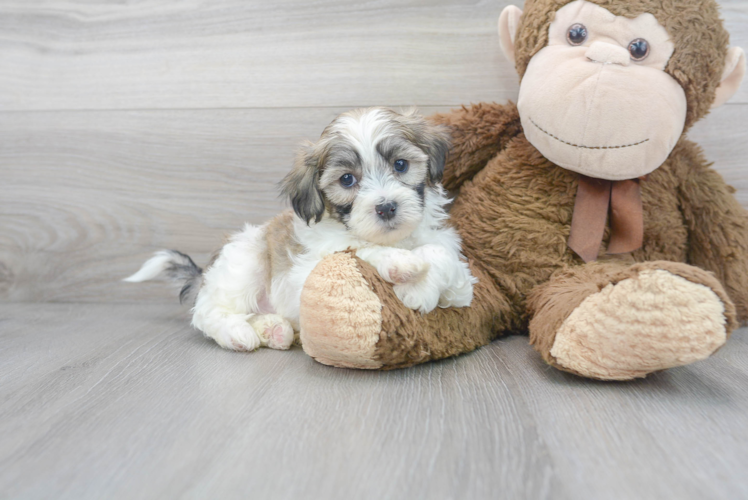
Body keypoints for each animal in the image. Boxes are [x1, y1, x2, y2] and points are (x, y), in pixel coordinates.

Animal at [122, 107, 474, 352]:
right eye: (347, 180)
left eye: (401, 165)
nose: (386, 207)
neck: (397, 238)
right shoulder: (312, 270)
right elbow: (356, 249)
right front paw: (401, 264)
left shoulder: (457, 267)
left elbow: (443, 258)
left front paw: (420, 290)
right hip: (245, 262)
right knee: (207, 311)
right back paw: (237, 332)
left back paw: (274, 330)